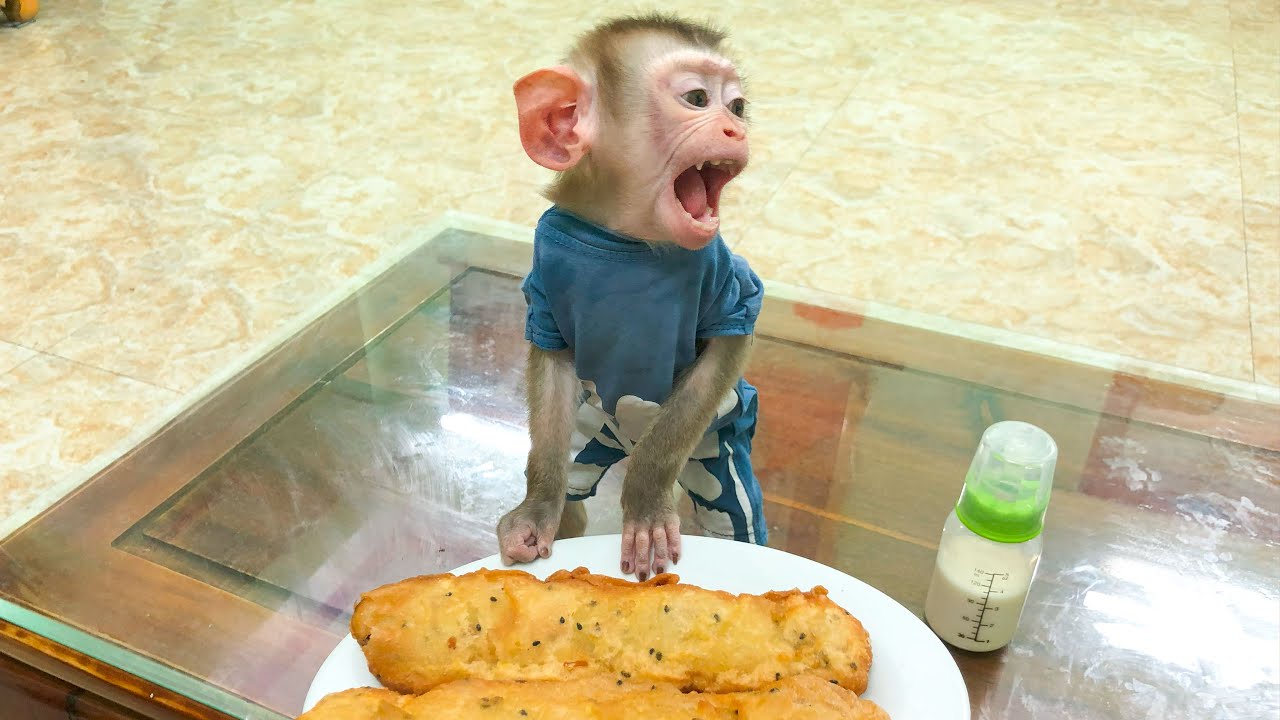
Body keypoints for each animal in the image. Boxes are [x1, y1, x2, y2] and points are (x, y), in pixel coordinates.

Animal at [496, 13, 766, 582]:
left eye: (736, 107)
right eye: (696, 98)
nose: (736, 130)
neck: (624, 240)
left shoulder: (722, 276)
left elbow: (729, 342)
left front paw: (644, 501)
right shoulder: (544, 275)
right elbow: (552, 362)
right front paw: (537, 506)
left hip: (712, 449)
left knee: (726, 509)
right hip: (590, 430)